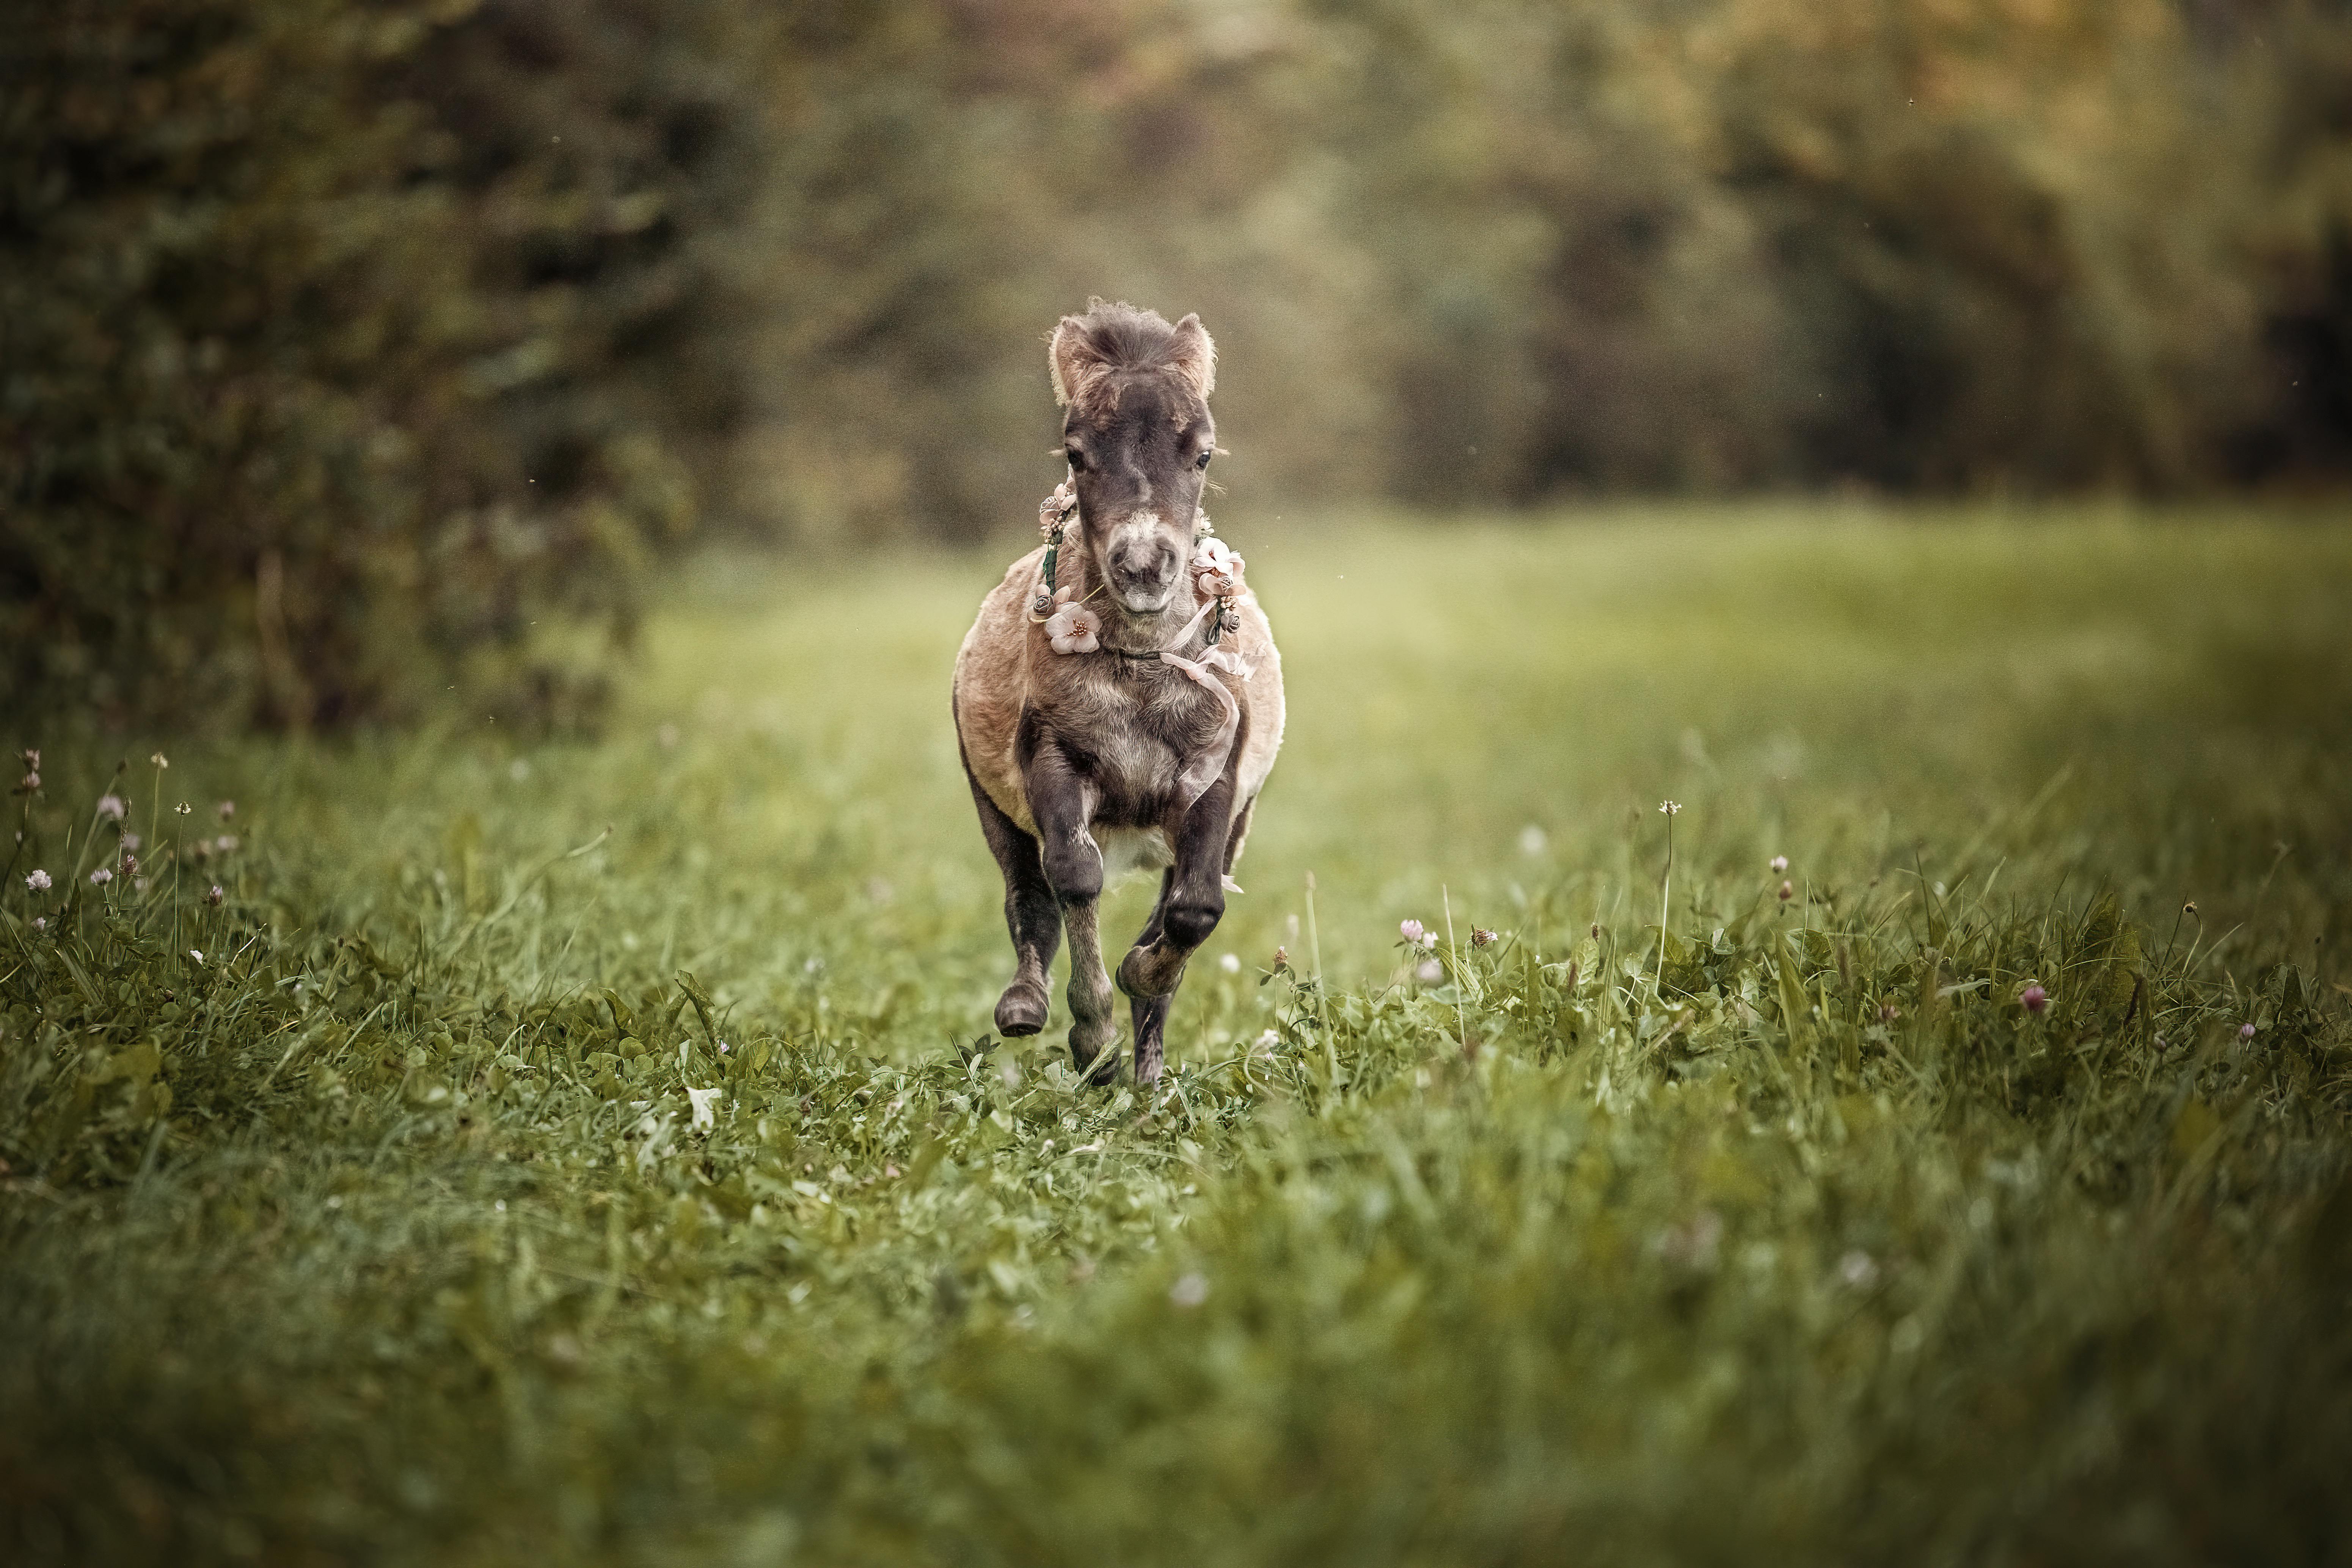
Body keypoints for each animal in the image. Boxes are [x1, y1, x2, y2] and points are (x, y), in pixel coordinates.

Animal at [950, 301, 1289, 1086]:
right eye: (1076, 454)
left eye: (1201, 454)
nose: (1142, 566)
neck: (1139, 673)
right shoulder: (1053, 758)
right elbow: (1074, 878)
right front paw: (1090, 1030)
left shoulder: (1215, 779)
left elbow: (1195, 909)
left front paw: (1143, 979)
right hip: (993, 803)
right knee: (1027, 897)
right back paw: (1026, 1007)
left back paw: (1149, 1083)